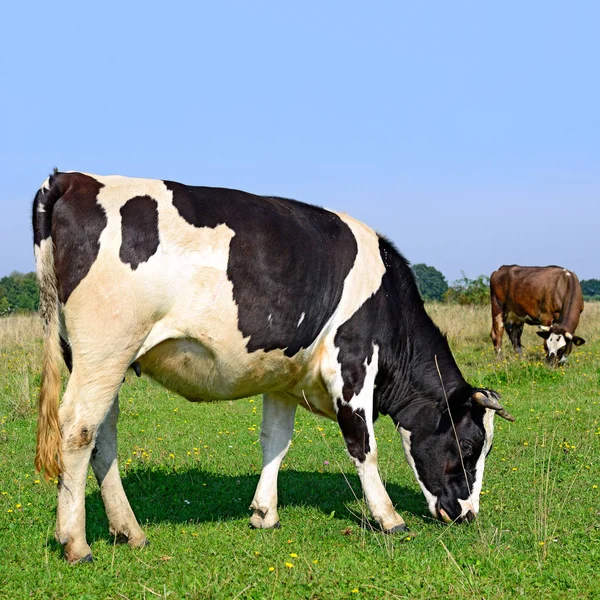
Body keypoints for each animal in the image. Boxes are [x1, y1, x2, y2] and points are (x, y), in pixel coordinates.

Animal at [32, 171, 512, 564]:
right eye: (470, 445)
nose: (468, 514)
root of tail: (71, 179)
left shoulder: (284, 376)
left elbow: (276, 442)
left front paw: (265, 512)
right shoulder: (352, 364)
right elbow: (364, 445)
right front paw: (389, 518)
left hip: (95, 357)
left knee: (103, 436)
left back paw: (128, 530)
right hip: (105, 349)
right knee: (77, 429)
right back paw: (76, 543)